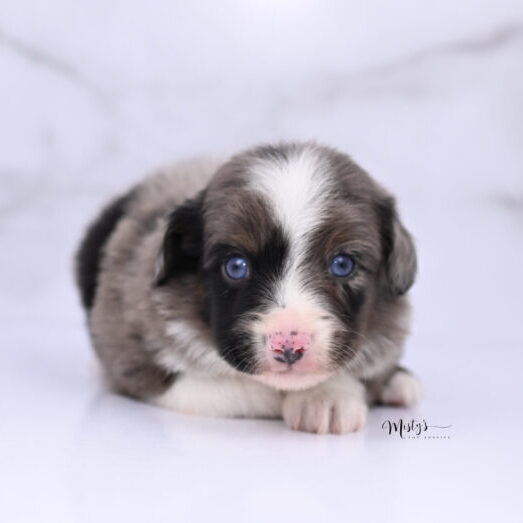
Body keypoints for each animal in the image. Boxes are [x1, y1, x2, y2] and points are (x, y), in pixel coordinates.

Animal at [75, 143, 424, 434]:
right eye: (236, 266)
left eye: (342, 264)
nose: (289, 346)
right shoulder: (132, 353)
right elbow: (234, 389)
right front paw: (302, 397)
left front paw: (328, 397)